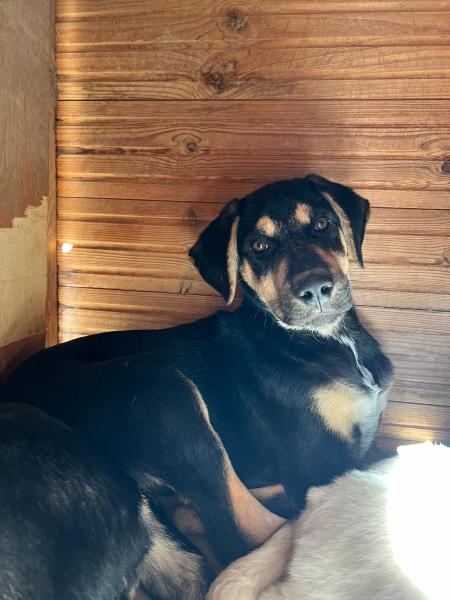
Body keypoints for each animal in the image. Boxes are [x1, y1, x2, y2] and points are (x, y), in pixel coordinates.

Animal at [4, 174, 393, 596]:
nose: (316, 288)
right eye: (259, 246)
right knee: (246, 533)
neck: (325, 340)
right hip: (158, 386)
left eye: (322, 224)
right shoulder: (318, 459)